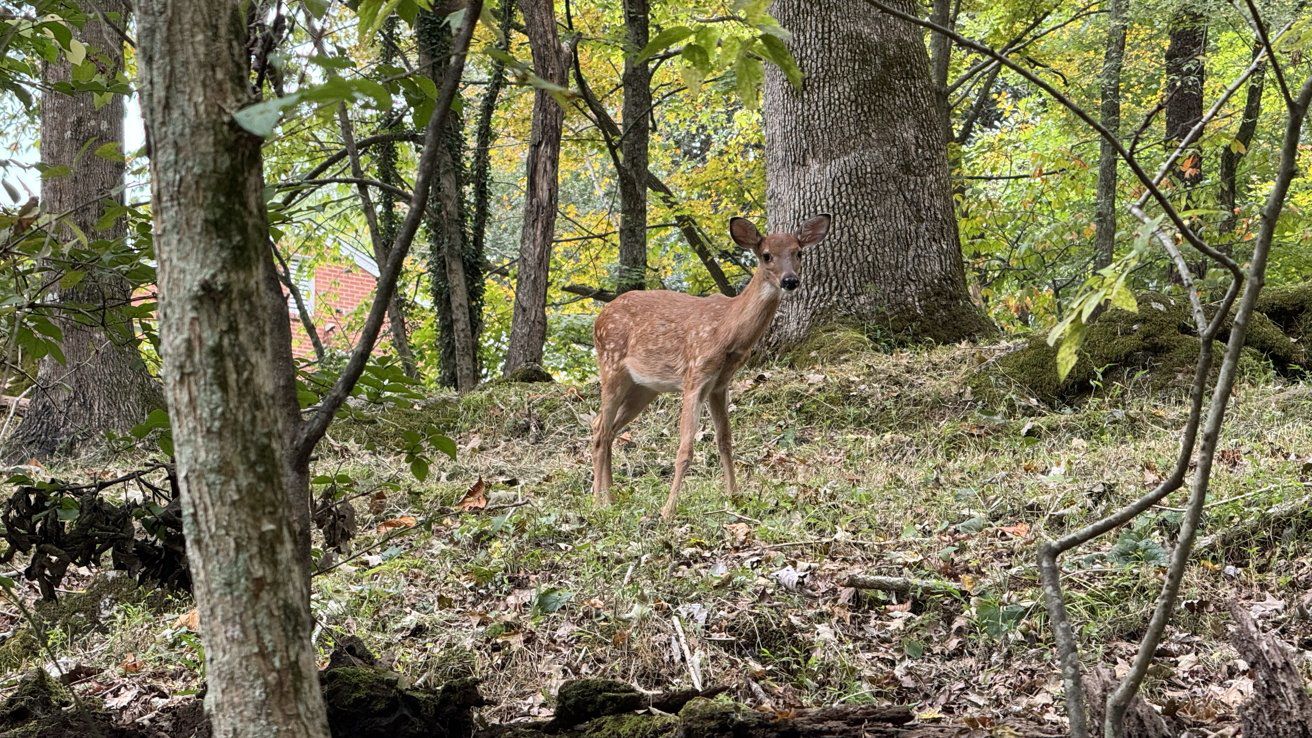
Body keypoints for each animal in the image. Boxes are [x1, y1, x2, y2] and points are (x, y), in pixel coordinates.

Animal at [593, 212, 829, 517]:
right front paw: (668, 511)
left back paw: (611, 497)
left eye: (798, 252)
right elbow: (685, 450)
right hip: (610, 365)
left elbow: (725, 440)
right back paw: (598, 500)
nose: (790, 280)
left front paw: (735, 496)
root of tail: (599, 317)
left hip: (644, 388)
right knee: (600, 428)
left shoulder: (720, 384)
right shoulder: (694, 376)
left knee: (607, 428)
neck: (727, 332)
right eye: (766, 255)